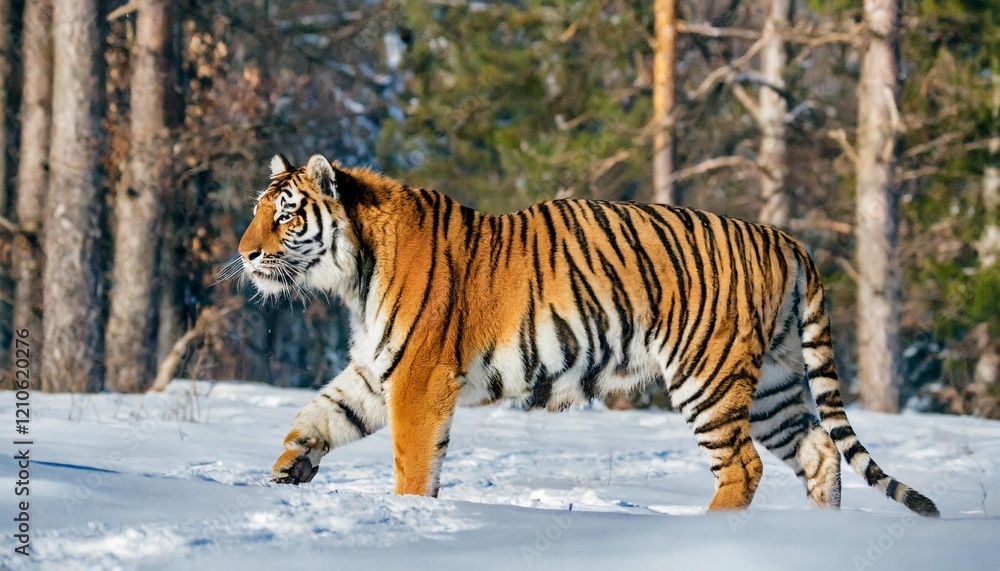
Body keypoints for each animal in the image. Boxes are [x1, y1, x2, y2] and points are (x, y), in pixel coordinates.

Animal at [234, 153, 939, 517]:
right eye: (257, 211)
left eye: (286, 215)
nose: (244, 254)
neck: (354, 272)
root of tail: (785, 238)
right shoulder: (378, 368)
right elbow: (319, 414)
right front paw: (287, 470)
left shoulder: (418, 375)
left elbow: (412, 462)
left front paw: (411, 517)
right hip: (775, 381)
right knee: (818, 450)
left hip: (707, 376)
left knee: (744, 464)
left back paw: (717, 531)